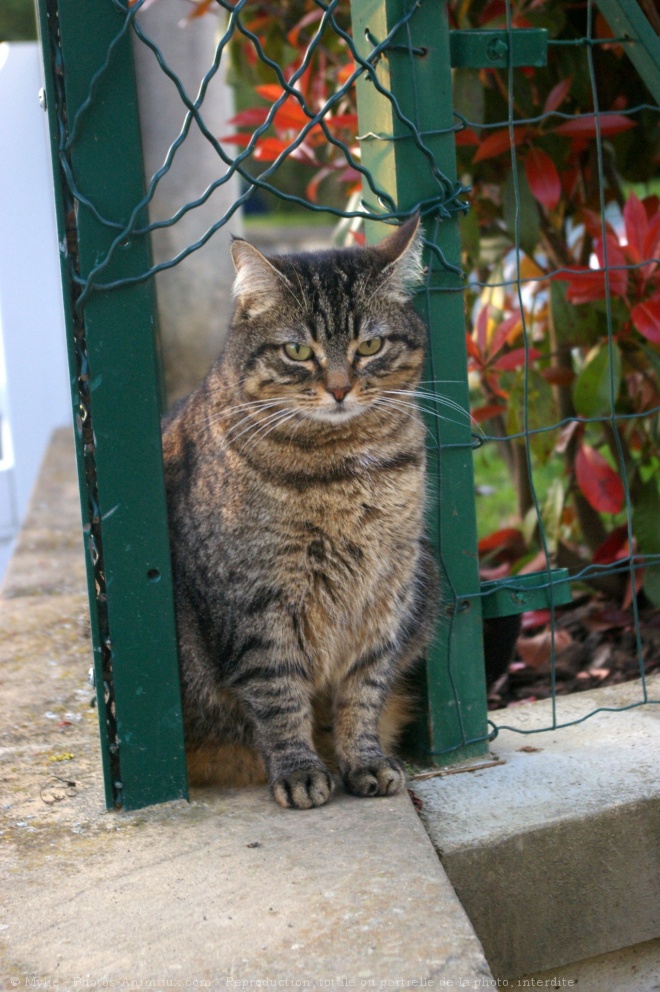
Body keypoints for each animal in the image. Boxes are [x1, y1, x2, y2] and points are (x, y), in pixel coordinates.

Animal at [160, 215, 438, 808]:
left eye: (370, 345)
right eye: (296, 351)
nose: (339, 388)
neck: (344, 470)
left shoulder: (387, 593)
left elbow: (364, 691)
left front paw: (365, 760)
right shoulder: (258, 600)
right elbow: (279, 695)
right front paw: (299, 771)